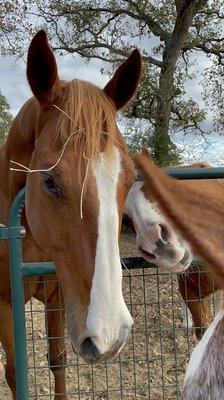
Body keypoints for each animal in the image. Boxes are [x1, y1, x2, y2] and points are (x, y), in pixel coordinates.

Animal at [0, 30, 143, 396]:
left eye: (129, 179)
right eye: (49, 181)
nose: (110, 334)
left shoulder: (58, 296)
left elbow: (59, 362)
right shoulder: (5, 305)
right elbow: (14, 373)